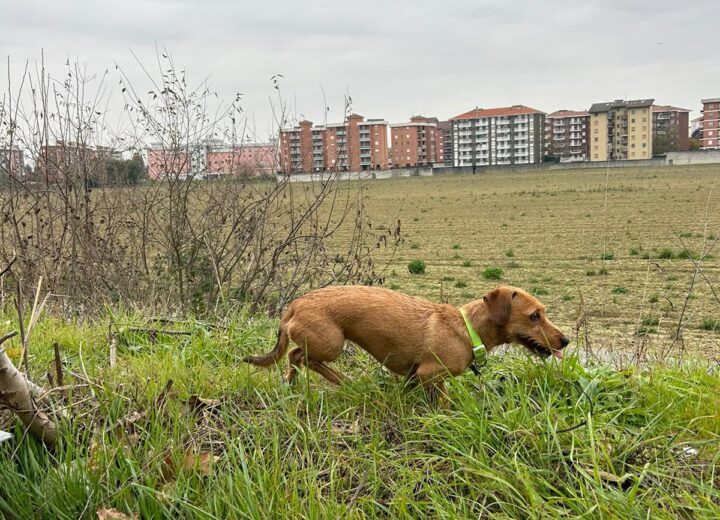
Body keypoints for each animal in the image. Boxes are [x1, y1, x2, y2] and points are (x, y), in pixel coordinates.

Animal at [245, 284, 572, 402]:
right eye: (534, 316)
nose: (566, 340)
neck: (468, 330)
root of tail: (294, 306)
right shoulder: (430, 373)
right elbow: (443, 399)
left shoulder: (414, 376)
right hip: (332, 343)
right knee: (300, 356)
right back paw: (342, 380)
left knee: (295, 358)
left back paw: (296, 383)